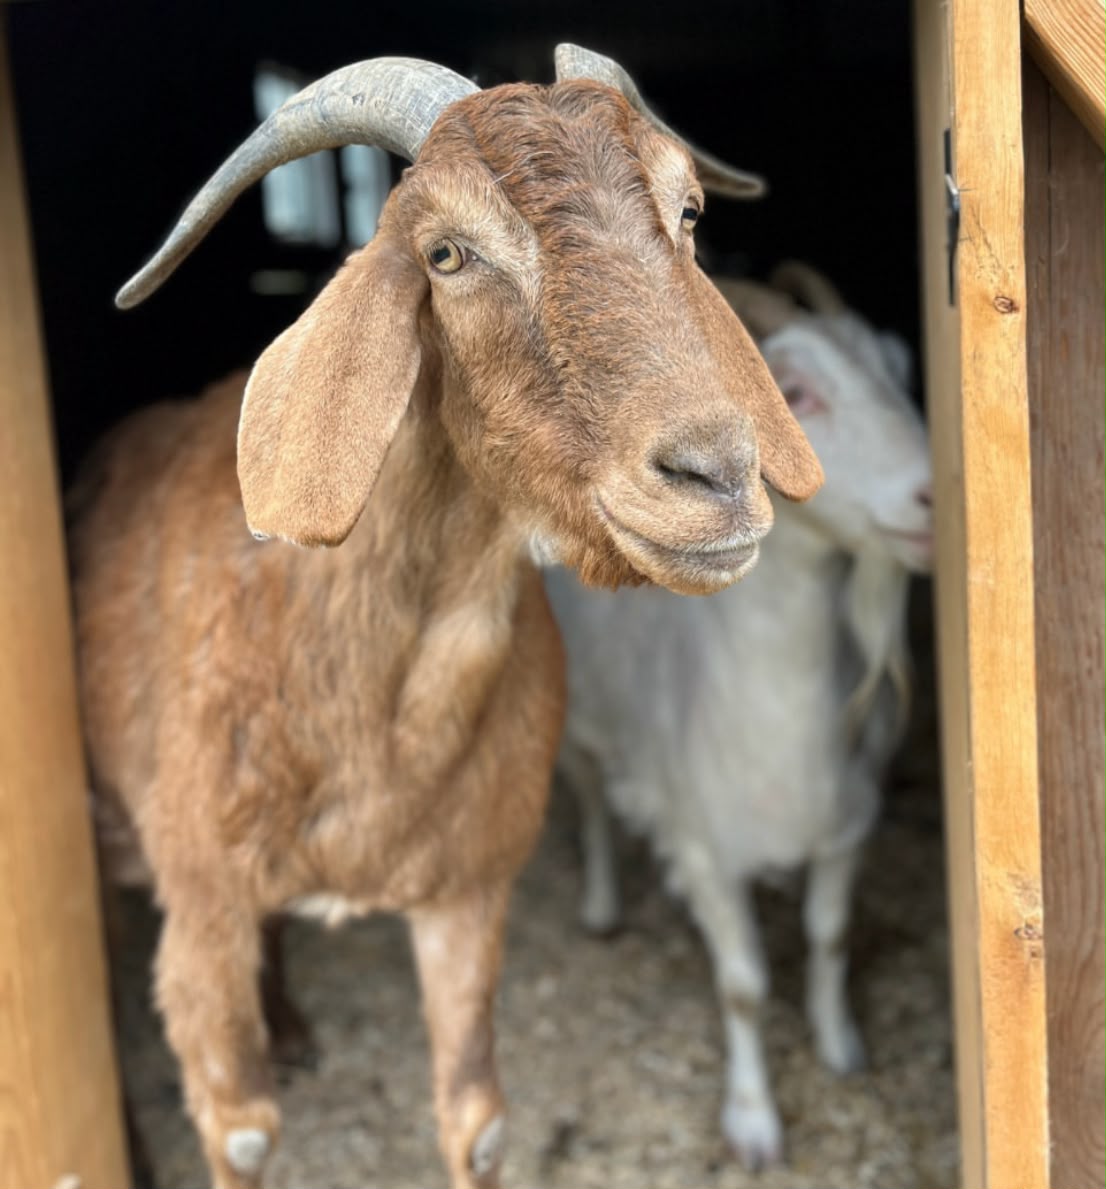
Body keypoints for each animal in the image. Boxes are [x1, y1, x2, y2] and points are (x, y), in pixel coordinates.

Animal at [70, 46, 822, 1189]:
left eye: (688, 210)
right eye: (446, 253)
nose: (715, 473)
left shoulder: (468, 890)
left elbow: (477, 1117)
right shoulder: (200, 902)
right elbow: (239, 1132)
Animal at [546, 262, 933, 1171]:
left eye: (898, 365)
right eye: (791, 390)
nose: (937, 493)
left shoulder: (848, 826)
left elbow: (830, 935)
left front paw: (841, 1046)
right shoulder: (706, 850)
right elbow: (745, 986)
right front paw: (753, 1122)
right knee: (589, 795)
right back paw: (603, 905)